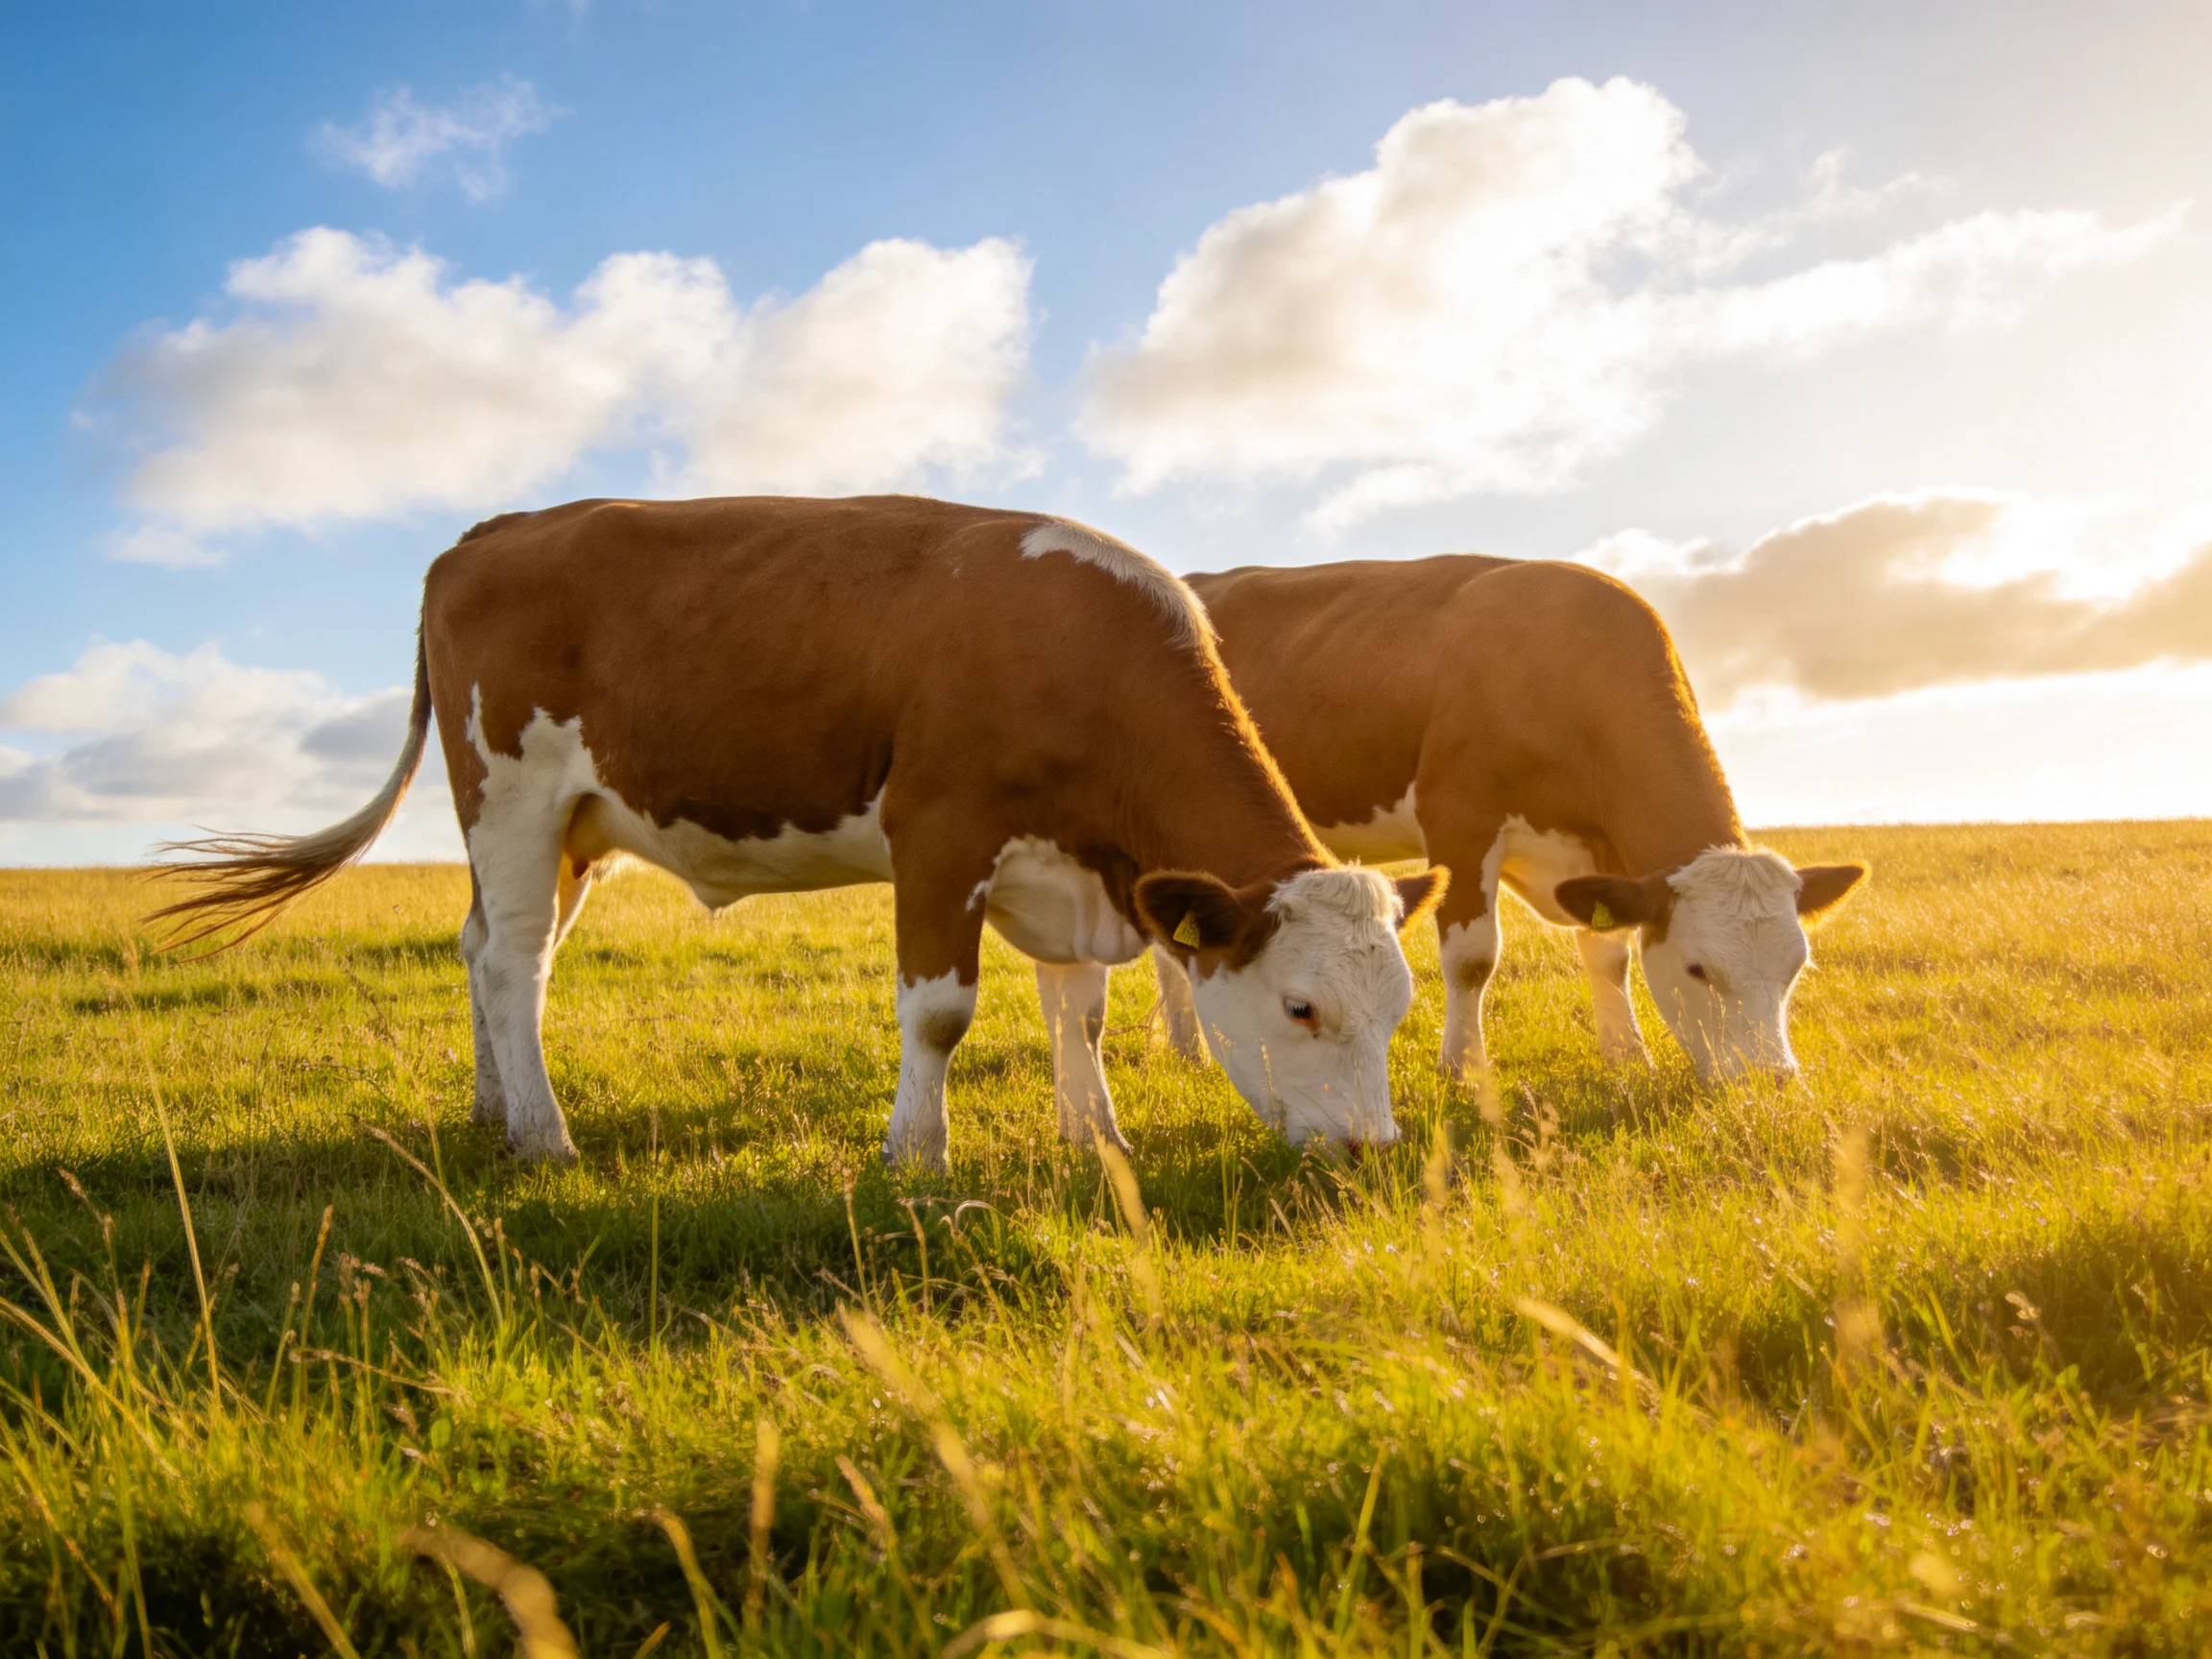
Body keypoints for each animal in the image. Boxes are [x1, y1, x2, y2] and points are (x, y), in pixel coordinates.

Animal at [151, 496, 1446, 1168]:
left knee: (484, 952)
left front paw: (1097, 1140)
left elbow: (1076, 1009)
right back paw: (545, 1135)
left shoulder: (1077, 872)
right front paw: (914, 1155)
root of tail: (488, 531)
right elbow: (942, 1013)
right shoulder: (940, 833)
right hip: (510, 797)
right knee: (516, 964)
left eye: (1398, 1009)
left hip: (571, 830)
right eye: (1301, 1008)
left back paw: (491, 1111)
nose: (1377, 1150)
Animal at [1146, 555, 1864, 1082]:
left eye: (1795, 969)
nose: (1772, 1080)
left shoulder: (1595, 856)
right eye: (1698, 970)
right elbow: (1472, 958)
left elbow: (1609, 953)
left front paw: (1627, 1055)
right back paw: (1189, 1050)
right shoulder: (1461, 820)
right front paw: (1462, 1068)